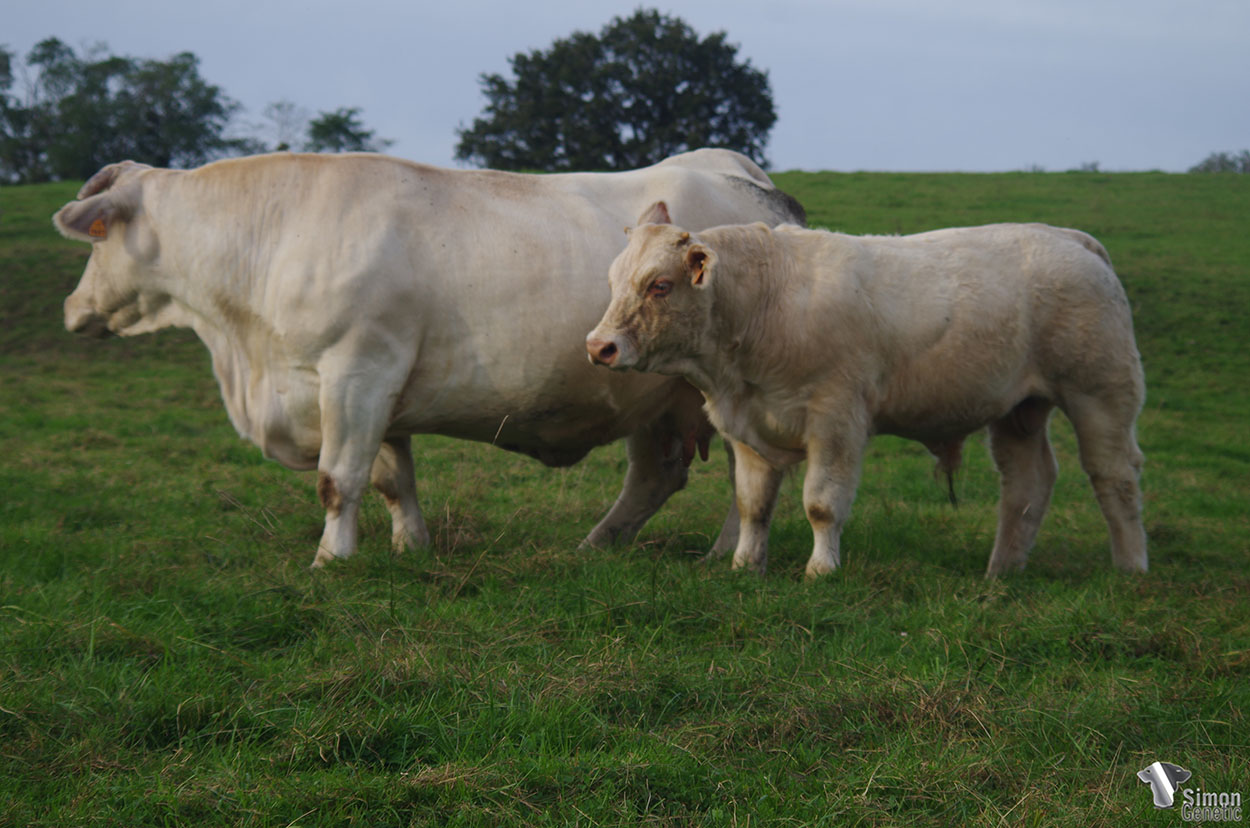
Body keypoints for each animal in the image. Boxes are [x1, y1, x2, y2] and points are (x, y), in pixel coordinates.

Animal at [53, 150, 806, 568]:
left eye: (97, 236)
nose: (72, 308)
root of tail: (748, 178)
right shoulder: (376, 389)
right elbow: (392, 479)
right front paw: (408, 547)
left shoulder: (355, 372)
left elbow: (338, 480)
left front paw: (331, 559)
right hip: (656, 396)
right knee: (657, 474)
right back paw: (598, 546)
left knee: (748, 470)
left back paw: (725, 553)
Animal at [587, 207, 1147, 578]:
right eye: (613, 282)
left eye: (660, 285)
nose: (599, 346)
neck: (767, 301)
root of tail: (1068, 237)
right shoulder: (747, 430)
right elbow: (752, 504)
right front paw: (746, 564)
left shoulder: (836, 420)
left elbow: (821, 503)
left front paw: (821, 570)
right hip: (1019, 409)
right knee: (1028, 483)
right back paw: (1000, 573)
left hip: (1100, 392)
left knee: (1114, 477)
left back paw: (1129, 569)